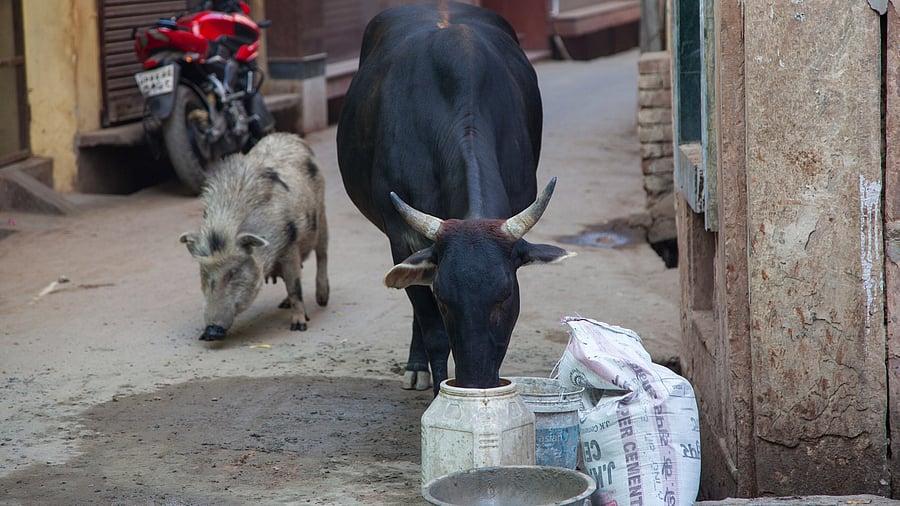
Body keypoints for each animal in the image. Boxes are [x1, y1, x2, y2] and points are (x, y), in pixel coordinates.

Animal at [336, 1, 572, 395]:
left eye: (505, 294)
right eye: (445, 299)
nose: (476, 381)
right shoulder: (402, 238)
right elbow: (433, 329)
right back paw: (416, 366)